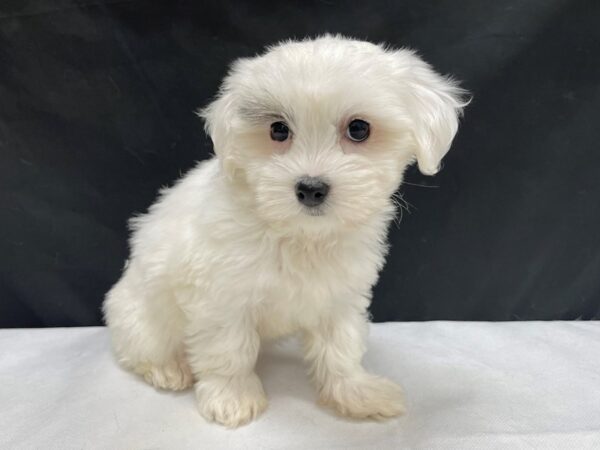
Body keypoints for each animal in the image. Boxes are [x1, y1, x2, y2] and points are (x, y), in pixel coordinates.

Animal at [103, 34, 468, 426]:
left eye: (359, 128)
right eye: (278, 130)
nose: (310, 188)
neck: (299, 234)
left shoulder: (338, 295)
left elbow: (341, 346)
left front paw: (356, 392)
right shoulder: (220, 297)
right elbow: (227, 349)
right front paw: (232, 397)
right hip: (141, 317)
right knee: (141, 347)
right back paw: (167, 368)